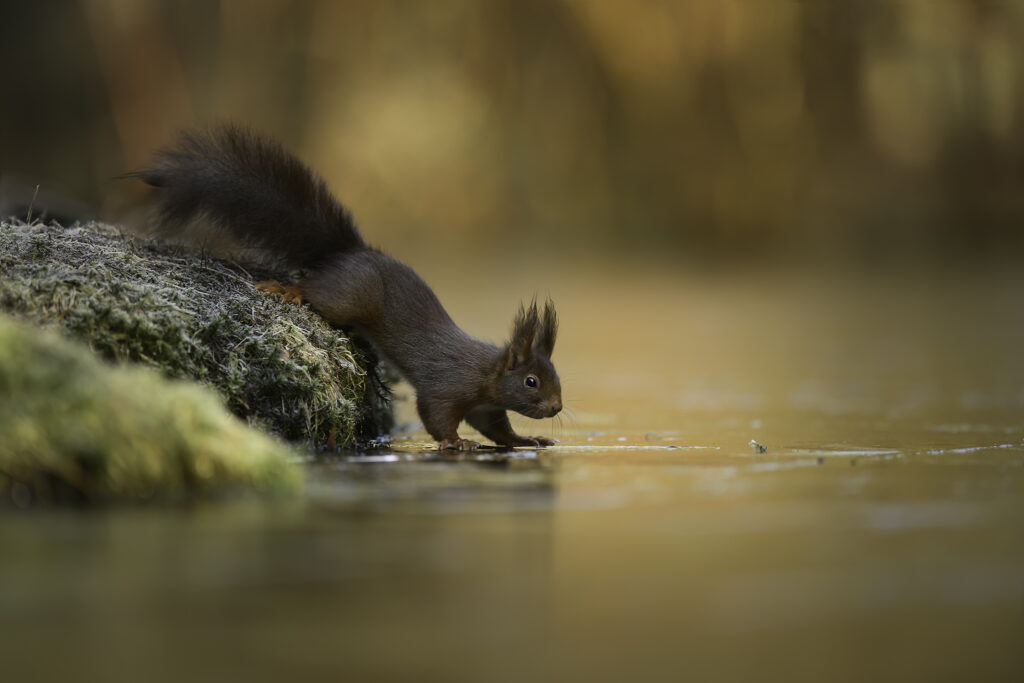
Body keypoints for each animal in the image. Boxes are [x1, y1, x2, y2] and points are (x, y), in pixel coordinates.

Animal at [128, 125, 565, 450]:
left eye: (554, 376)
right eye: (531, 382)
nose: (558, 408)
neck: (486, 372)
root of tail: (347, 252)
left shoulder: (485, 406)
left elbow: (497, 430)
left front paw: (528, 440)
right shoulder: (447, 385)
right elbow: (436, 415)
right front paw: (455, 442)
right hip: (347, 298)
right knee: (316, 289)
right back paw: (292, 291)